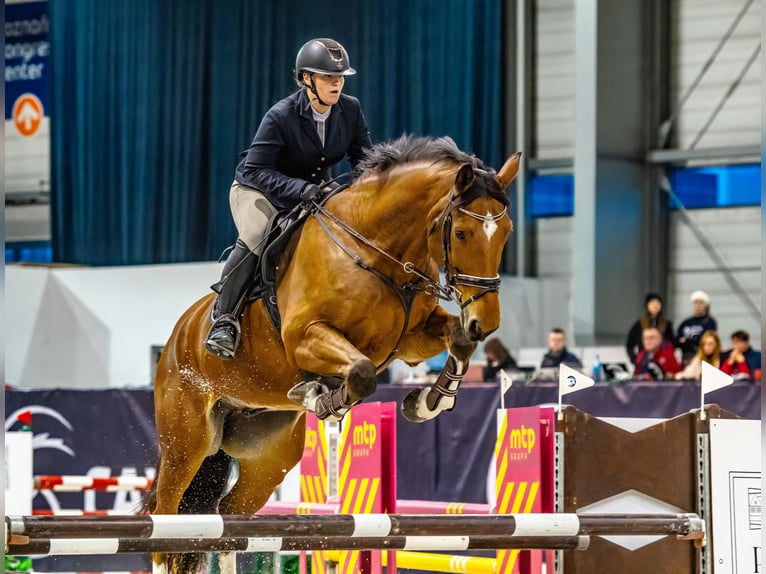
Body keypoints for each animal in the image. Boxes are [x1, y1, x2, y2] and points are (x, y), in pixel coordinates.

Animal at [148, 136, 520, 574]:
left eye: (506, 232)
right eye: (461, 233)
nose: (486, 323)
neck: (376, 250)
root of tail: (174, 341)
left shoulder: (409, 340)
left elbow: (458, 341)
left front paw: (428, 401)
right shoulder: (306, 337)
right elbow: (361, 373)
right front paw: (321, 399)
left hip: (268, 456)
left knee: (227, 519)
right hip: (185, 443)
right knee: (165, 521)